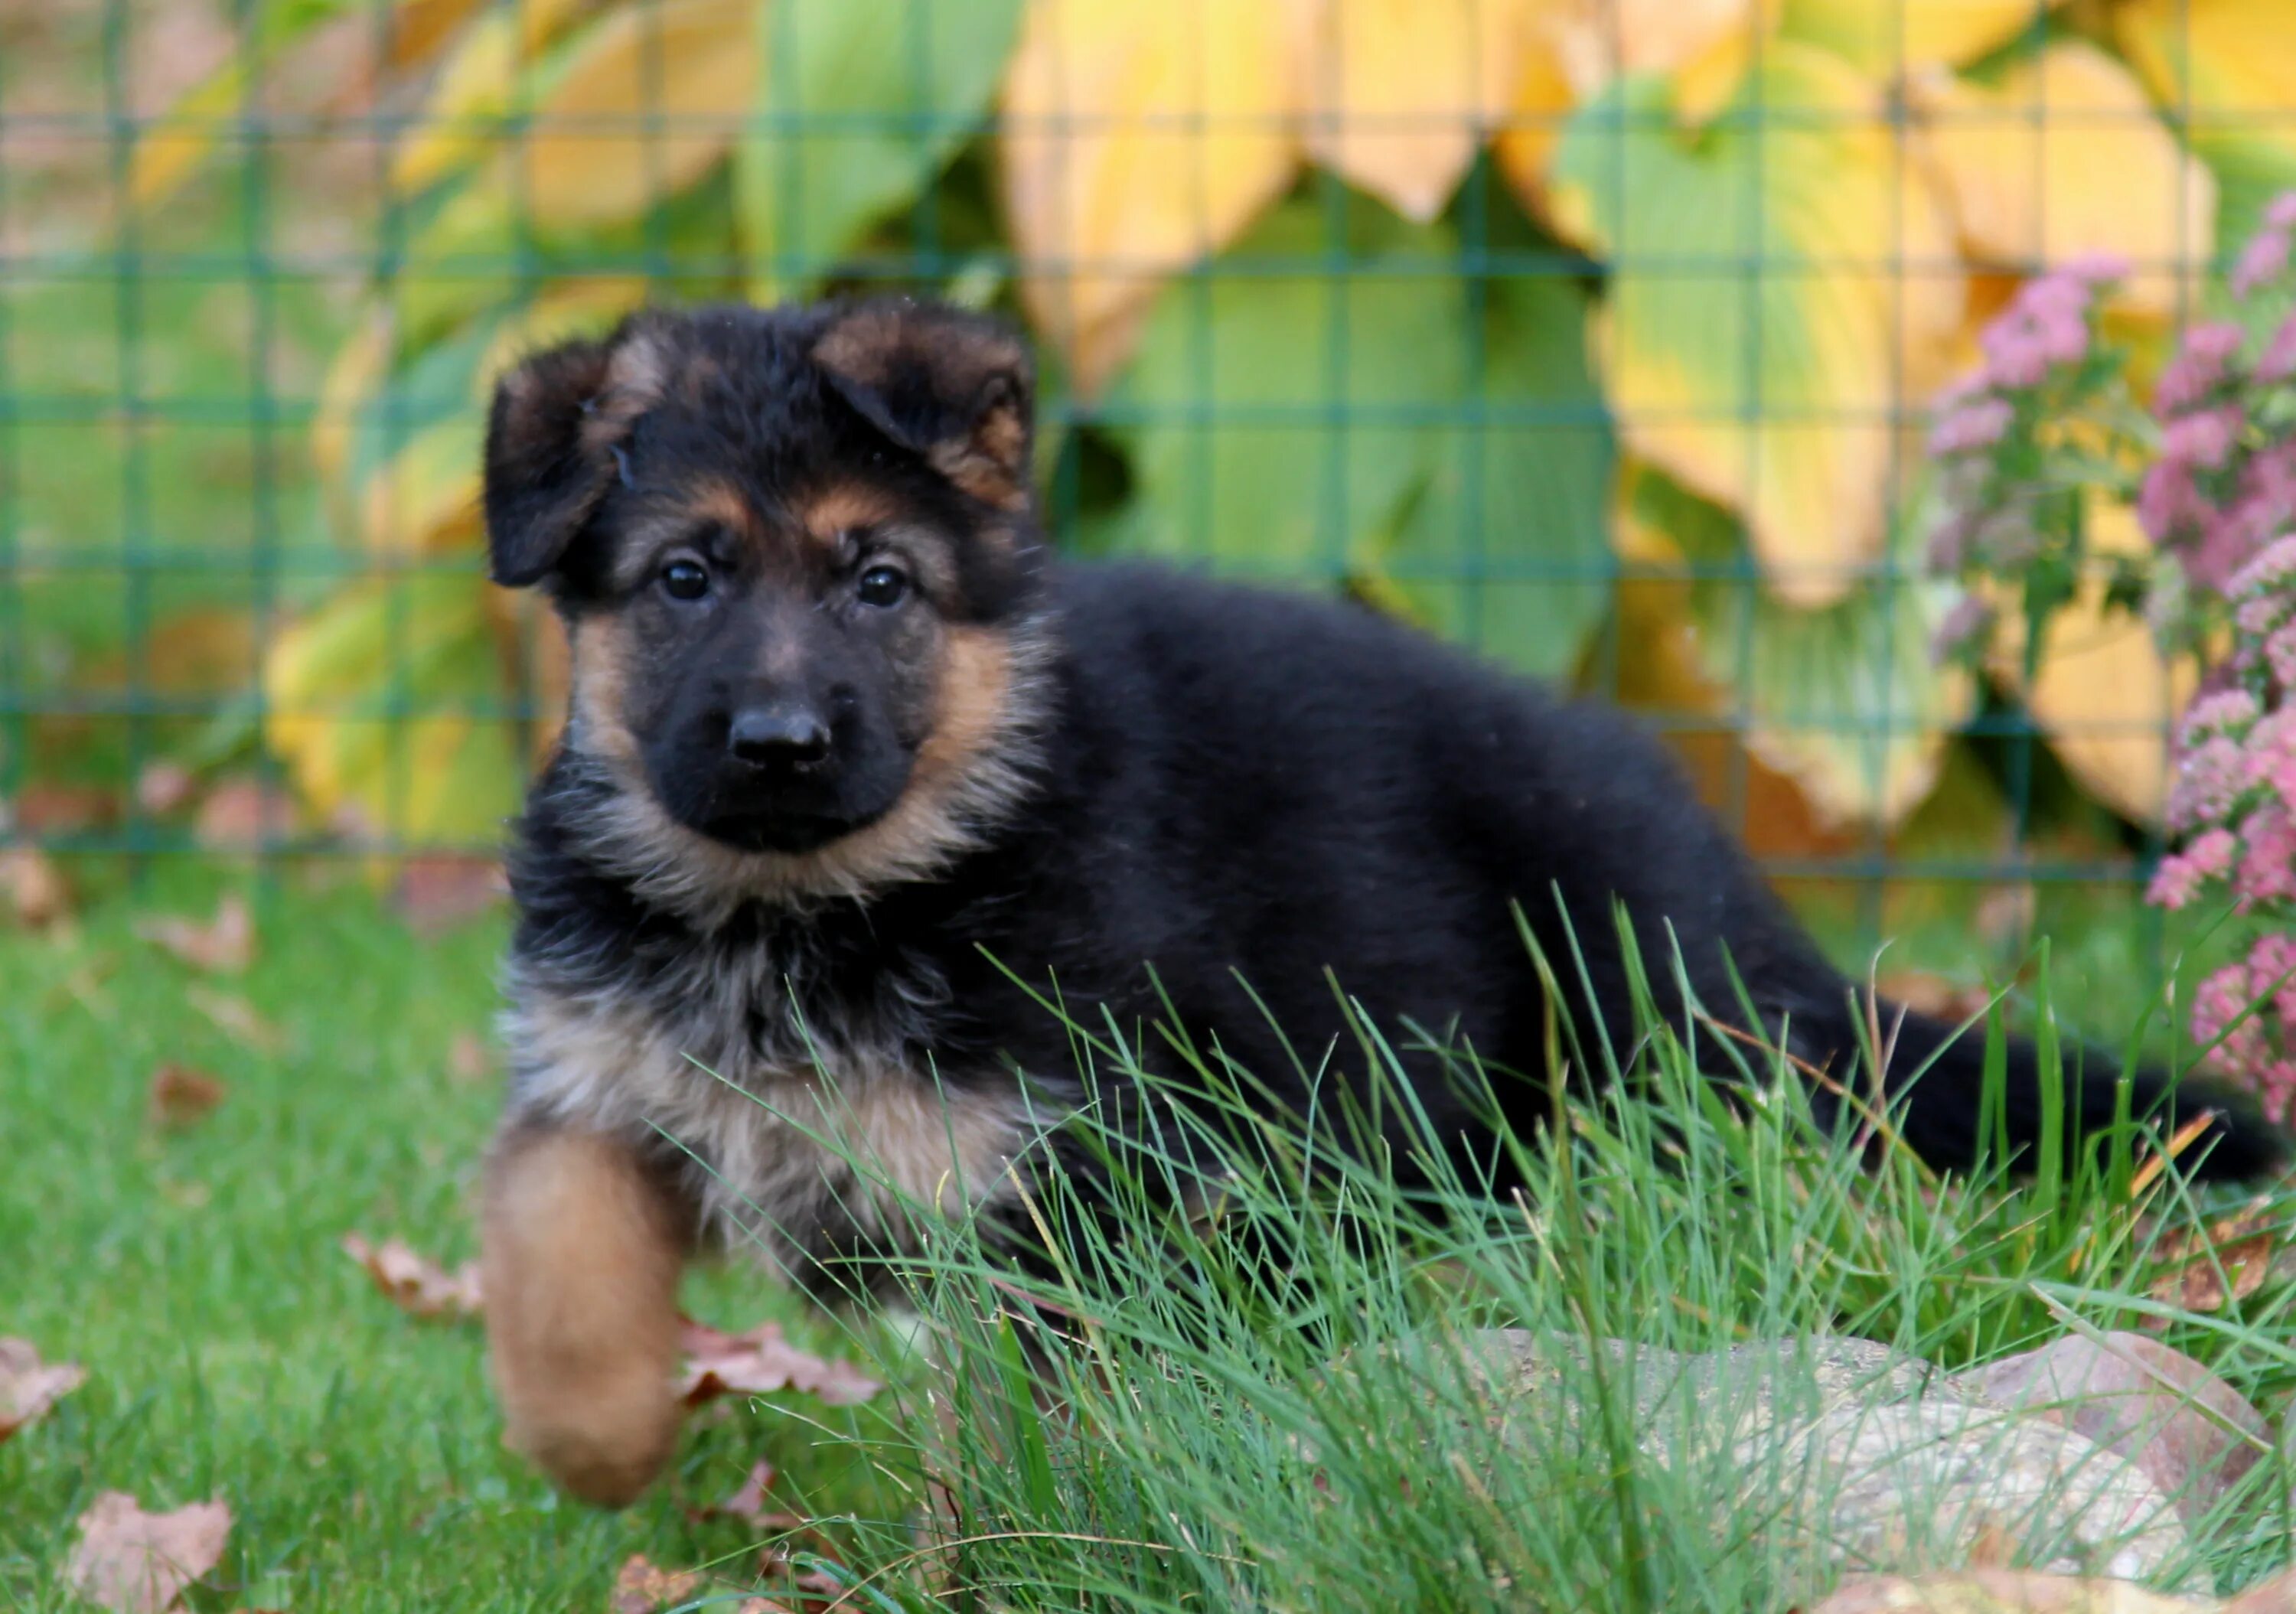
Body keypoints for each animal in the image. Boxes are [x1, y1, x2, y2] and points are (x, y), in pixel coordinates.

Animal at [480, 301, 2278, 1506]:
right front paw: (605, 1445)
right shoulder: (595, 1075)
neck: (805, 904)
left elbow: (1031, 1404)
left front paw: (1013, 1528)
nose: (779, 742)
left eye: (880, 583)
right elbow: (551, 1248)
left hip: (1639, 1002)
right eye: (684, 577)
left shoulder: (1077, 1172)